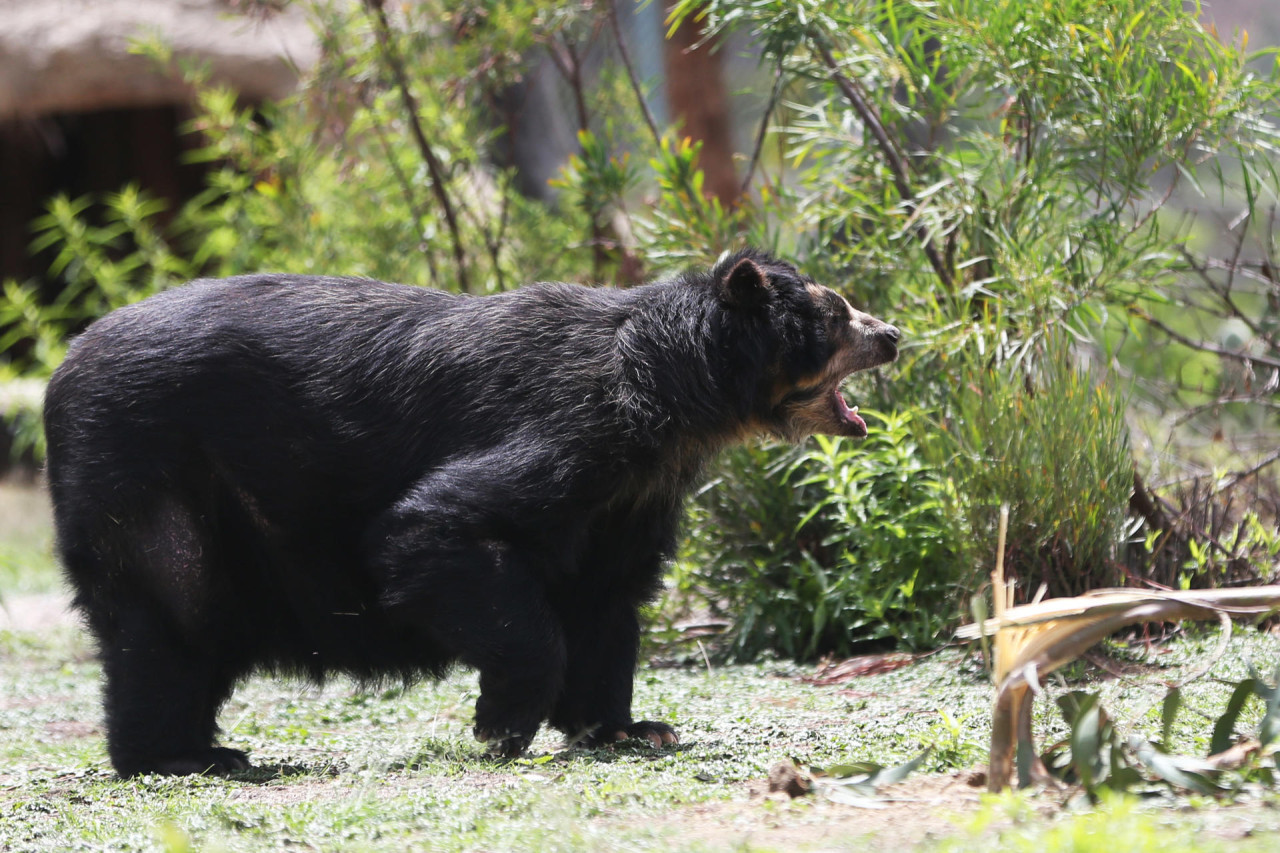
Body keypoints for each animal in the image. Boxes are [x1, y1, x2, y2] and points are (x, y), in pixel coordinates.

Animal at [40, 244, 901, 768]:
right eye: (834, 316)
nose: (893, 332)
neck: (672, 406)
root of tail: (60, 371)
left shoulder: (629, 498)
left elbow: (606, 604)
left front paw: (631, 727)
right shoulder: (572, 434)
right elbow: (431, 528)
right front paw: (500, 725)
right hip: (147, 472)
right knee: (171, 610)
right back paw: (178, 755)